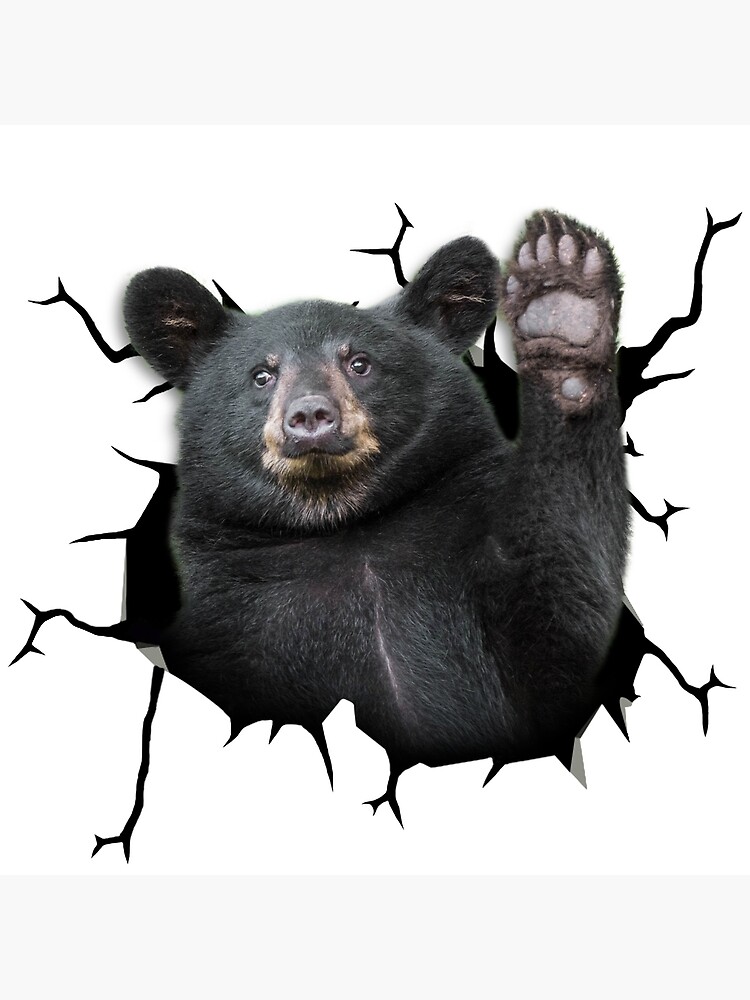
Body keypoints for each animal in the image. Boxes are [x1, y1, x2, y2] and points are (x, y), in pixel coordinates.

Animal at [123, 211, 629, 814]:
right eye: (261, 376)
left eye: (360, 363)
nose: (310, 416)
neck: (347, 525)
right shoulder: (228, 623)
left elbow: (561, 608)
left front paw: (563, 298)